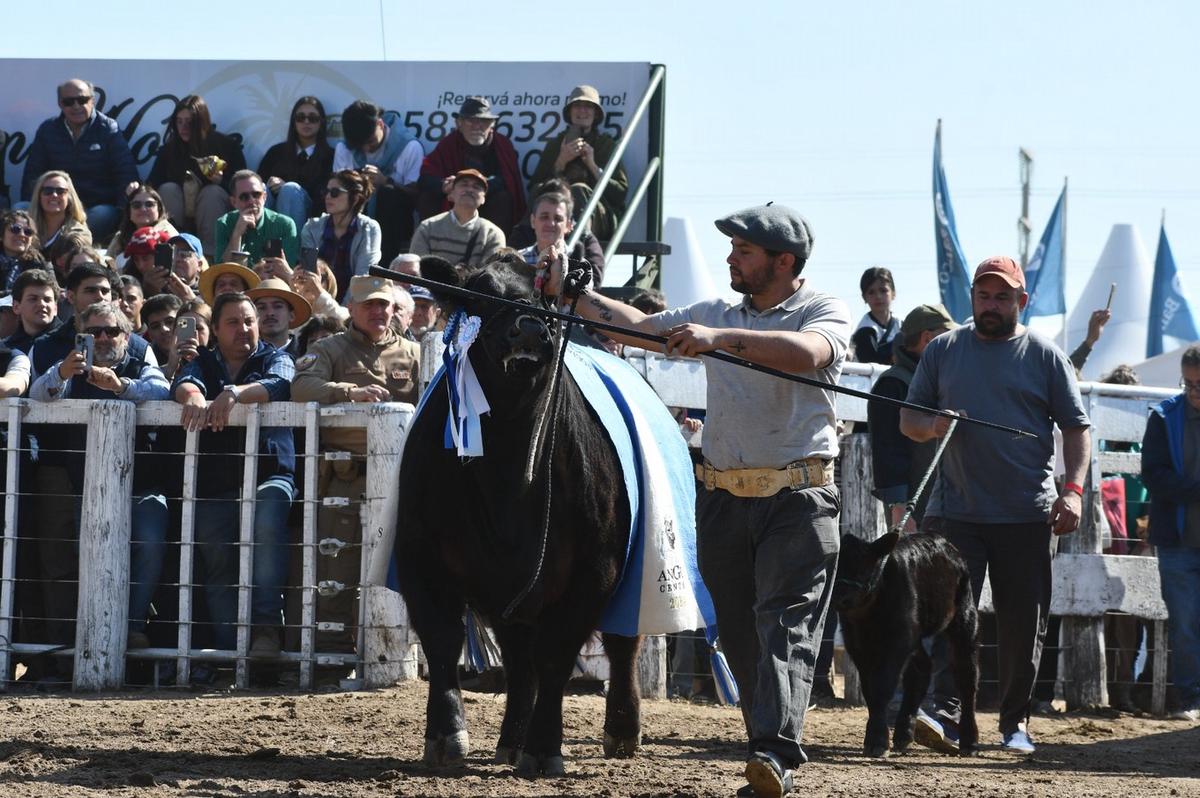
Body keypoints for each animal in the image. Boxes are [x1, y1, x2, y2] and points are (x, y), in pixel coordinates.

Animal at [396, 258, 648, 772]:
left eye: (546, 298)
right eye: (478, 291)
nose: (529, 328)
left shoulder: (596, 569)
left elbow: (556, 656)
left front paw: (545, 747)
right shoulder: (419, 555)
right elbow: (442, 640)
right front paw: (446, 735)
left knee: (621, 646)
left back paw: (621, 730)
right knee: (517, 659)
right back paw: (511, 737)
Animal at [835, 532, 974, 758]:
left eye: (864, 568)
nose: (839, 597)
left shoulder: (898, 640)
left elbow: (882, 685)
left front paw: (877, 741)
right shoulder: (857, 645)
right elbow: (869, 689)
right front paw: (876, 736)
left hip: (964, 616)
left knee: (966, 676)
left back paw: (969, 742)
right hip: (914, 635)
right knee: (921, 670)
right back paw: (904, 733)